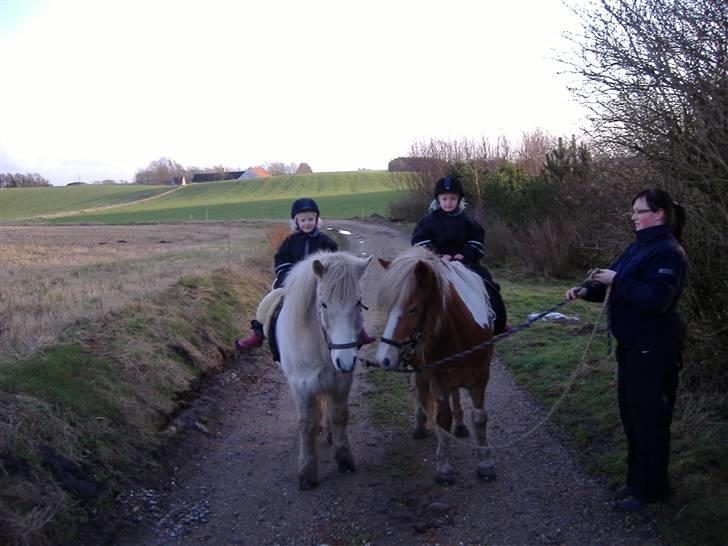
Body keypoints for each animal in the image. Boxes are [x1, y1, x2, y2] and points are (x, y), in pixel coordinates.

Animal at [276, 251, 372, 488]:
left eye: (358, 302)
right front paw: (307, 471)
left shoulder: (341, 381)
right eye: (324, 304)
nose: (345, 360)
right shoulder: (301, 386)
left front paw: (344, 458)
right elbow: (306, 424)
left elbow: (339, 415)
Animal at [376, 245, 494, 480]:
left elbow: (480, 418)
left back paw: (460, 424)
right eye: (390, 308)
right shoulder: (438, 381)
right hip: (421, 370)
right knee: (422, 392)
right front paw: (444, 467)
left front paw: (485, 463)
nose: (384, 359)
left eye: (413, 309)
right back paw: (420, 426)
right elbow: (443, 419)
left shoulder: (480, 379)